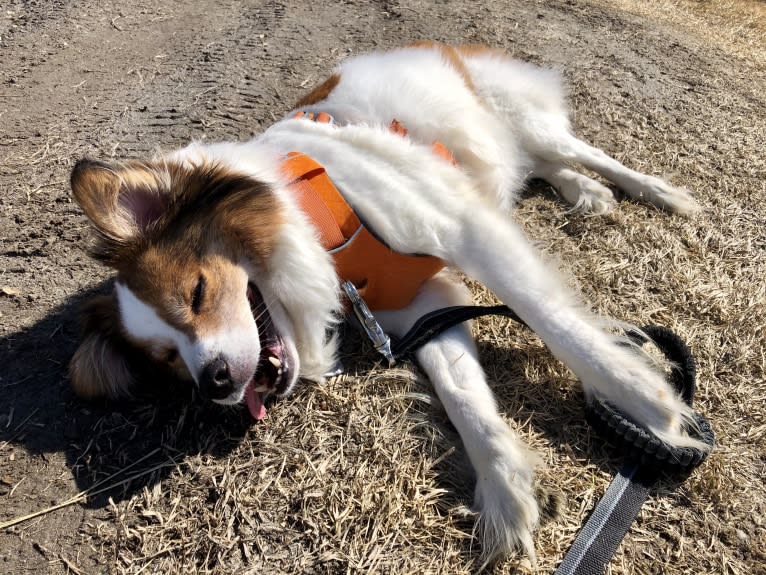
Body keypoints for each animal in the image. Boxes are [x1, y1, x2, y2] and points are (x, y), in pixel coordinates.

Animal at [69, 44, 712, 564]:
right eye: (169, 360)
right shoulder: (421, 305)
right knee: (539, 165)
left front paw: (646, 402)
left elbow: (553, 322)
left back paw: (659, 193)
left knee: (584, 152)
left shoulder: (461, 228)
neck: (311, 217)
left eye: (198, 293)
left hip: (526, 119)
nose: (217, 383)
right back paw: (585, 192)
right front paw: (506, 495)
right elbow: (464, 397)